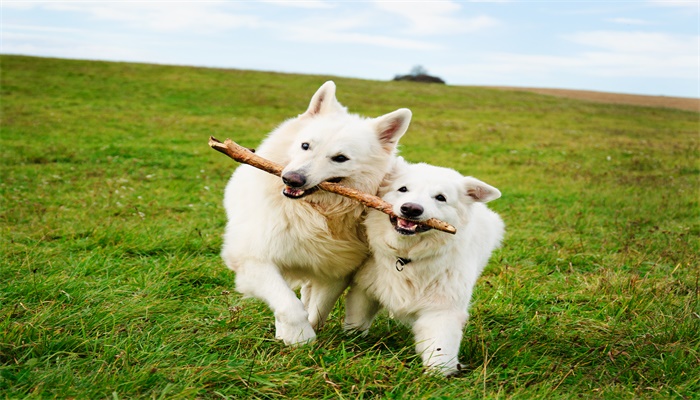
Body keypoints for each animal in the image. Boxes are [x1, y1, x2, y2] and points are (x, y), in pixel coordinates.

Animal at [221, 81, 412, 344]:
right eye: (305, 146)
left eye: (340, 158)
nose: (292, 179)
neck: (315, 212)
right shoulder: (254, 259)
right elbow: (288, 304)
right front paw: (298, 337)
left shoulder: (335, 270)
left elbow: (318, 308)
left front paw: (305, 334)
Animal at [344, 159, 504, 376]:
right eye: (403, 189)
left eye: (440, 198)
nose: (411, 209)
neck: (406, 257)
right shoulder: (364, 290)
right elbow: (357, 321)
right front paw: (350, 340)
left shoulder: (442, 310)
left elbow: (440, 348)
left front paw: (438, 375)